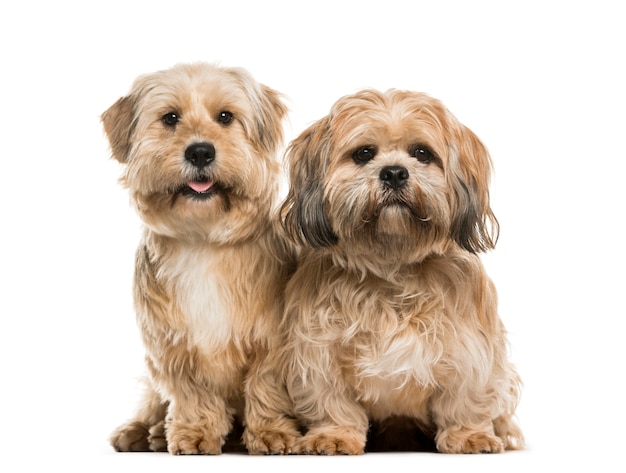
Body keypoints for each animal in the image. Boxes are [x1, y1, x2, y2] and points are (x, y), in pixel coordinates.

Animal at [272, 88, 520, 454]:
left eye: (422, 153)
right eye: (363, 153)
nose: (393, 172)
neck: (393, 270)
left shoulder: (470, 348)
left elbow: (465, 398)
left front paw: (468, 435)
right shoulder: (317, 351)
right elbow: (330, 400)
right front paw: (334, 434)